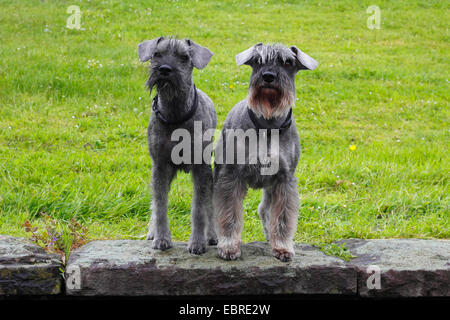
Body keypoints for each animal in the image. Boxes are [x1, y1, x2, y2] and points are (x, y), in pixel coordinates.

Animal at [139, 37, 218, 252]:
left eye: (184, 57)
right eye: (156, 54)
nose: (165, 69)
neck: (175, 114)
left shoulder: (201, 170)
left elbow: (199, 208)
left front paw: (197, 242)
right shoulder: (160, 167)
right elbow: (160, 205)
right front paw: (161, 238)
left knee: (210, 207)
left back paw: (212, 235)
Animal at [214, 42, 316, 262]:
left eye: (287, 62)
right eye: (258, 61)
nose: (268, 76)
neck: (268, 125)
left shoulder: (284, 180)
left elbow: (283, 217)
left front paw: (283, 247)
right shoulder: (231, 177)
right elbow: (229, 214)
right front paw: (229, 246)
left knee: (265, 210)